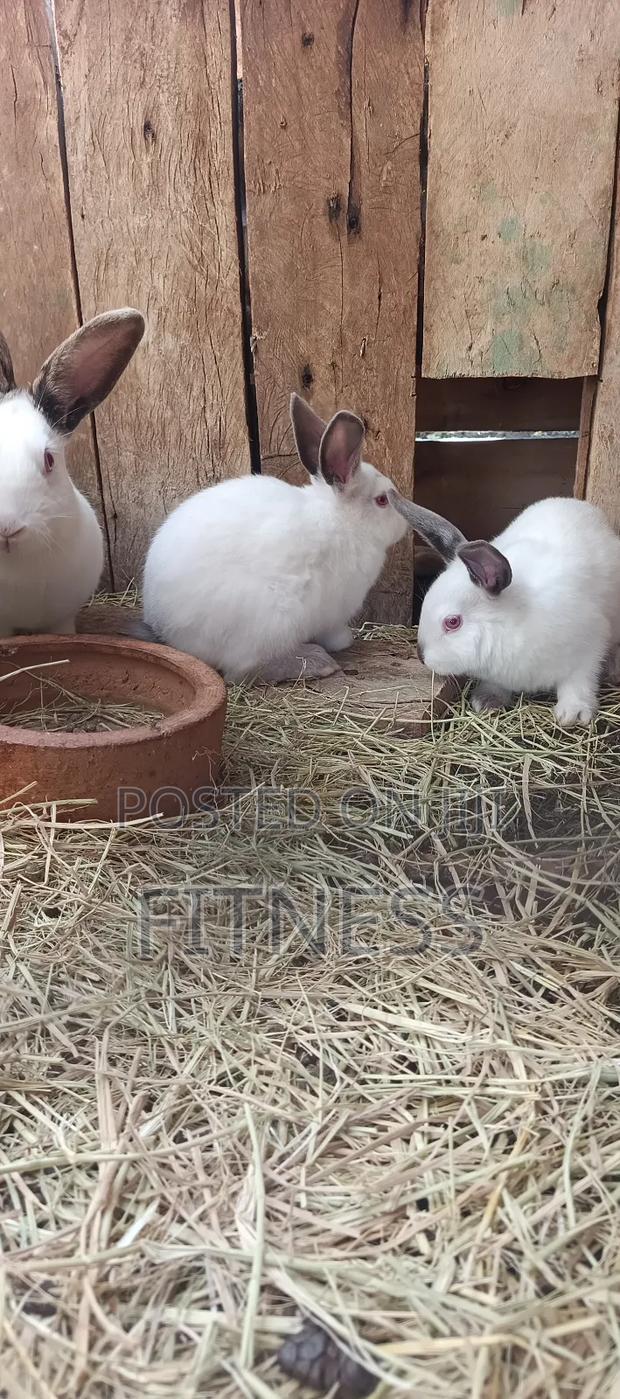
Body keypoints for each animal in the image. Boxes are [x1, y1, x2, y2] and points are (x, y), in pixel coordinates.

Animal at [139, 393, 461, 685]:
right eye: (382, 500)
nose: (403, 524)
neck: (342, 520)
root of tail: (168, 631)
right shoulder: (334, 610)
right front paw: (343, 641)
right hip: (273, 619)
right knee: (241, 672)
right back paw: (318, 662)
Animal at [390, 490, 620, 727]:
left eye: (452, 622)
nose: (421, 656)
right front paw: (486, 701)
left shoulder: (589, 649)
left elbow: (579, 683)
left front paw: (573, 714)